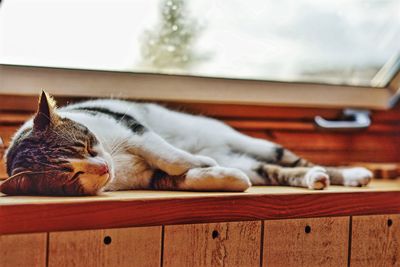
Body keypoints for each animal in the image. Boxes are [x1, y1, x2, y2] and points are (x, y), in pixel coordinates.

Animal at [1, 92, 374, 197]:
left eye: (86, 146)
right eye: (73, 176)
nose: (104, 166)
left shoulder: (134, 129)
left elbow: (171, 156)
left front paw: (201, 162)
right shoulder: (151, 177)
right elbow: (182, 177)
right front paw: (226, 178)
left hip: (250, 141)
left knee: (297, 160)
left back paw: (352, 174)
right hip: (253, 162)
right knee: (277, 171)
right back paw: (315, 180)